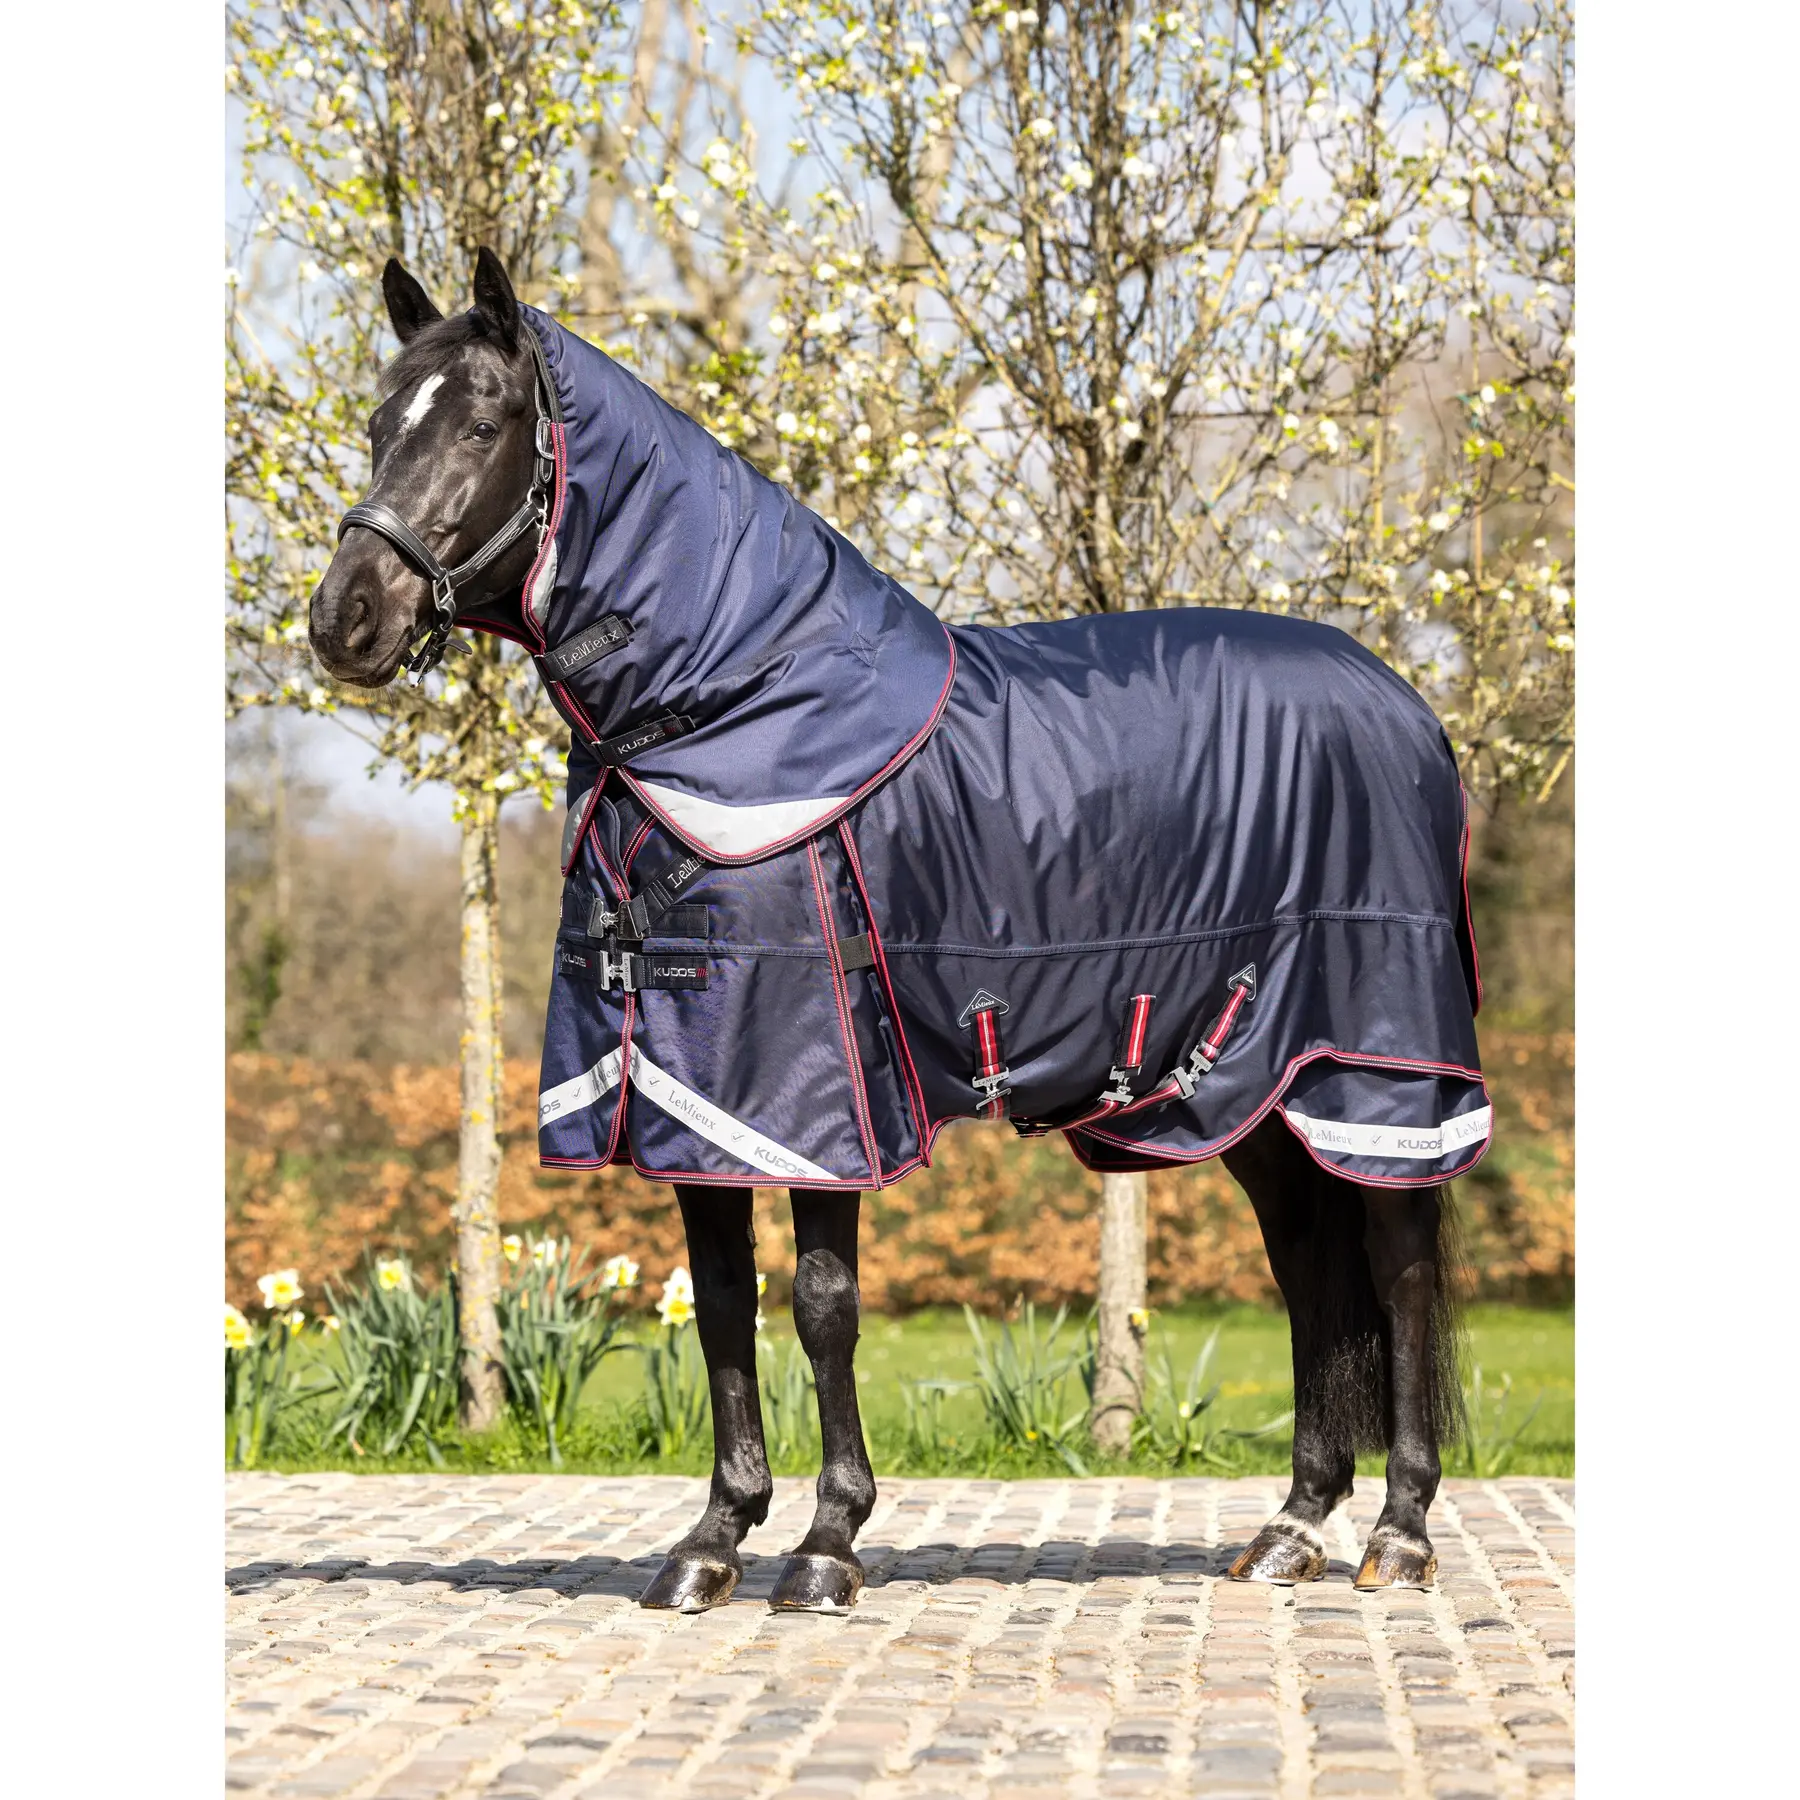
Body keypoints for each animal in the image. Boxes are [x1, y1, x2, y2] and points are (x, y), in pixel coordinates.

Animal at [310, 248, 1482, 1612]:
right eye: (377, 424)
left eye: (482, 425)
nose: (345, 619)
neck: (734, 710)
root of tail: (1408, 707)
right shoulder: (688, 1096)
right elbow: (723, 1303)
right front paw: (713, 1540)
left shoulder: (816, 1092)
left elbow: (822, 1302)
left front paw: (826, 1543)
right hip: (1252, 1086)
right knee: (1308, 1267)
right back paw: (1292, 1528)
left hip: (1375, 1069)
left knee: (1397, 1262)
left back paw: (1400, 1534)